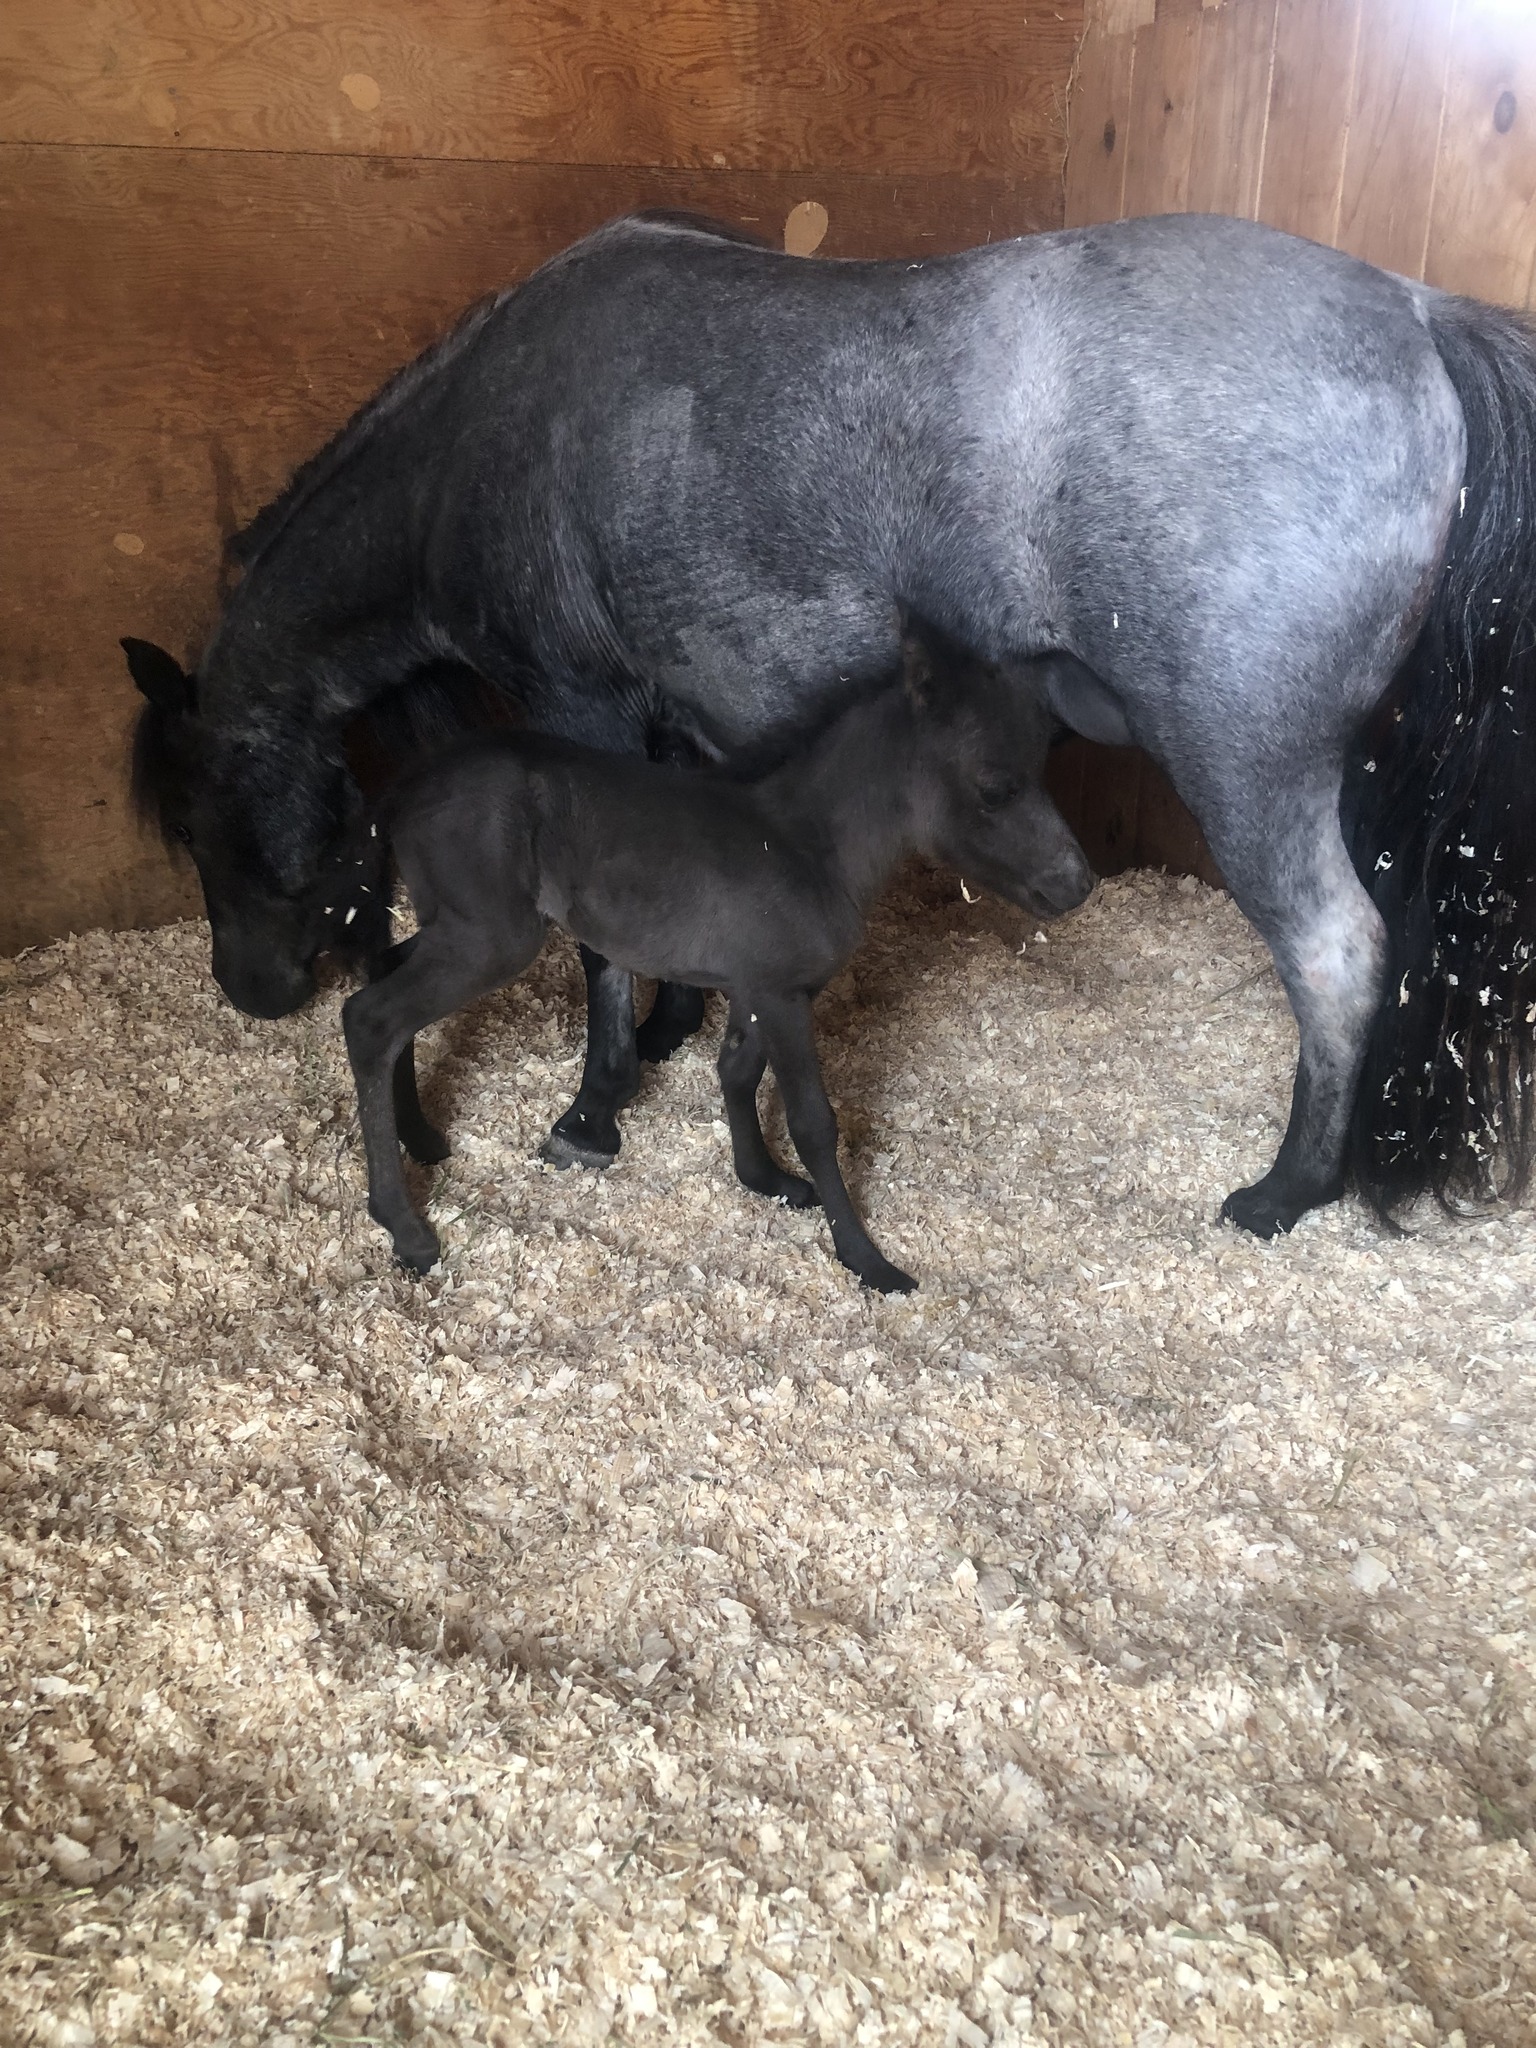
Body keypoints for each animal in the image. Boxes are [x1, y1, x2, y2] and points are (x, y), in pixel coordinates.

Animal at [337, 622, 1092, 1287]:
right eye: (995, 786)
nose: (1076, 882)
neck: (810, 845)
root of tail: (405, 786)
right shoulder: (780, 995)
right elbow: (813, 1121)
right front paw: (866, 1260)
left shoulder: (763, 986)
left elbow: (735, 1070)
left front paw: (765, 1180)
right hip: (489, 938)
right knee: (371, 1017)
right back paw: (404, 1227)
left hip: (453, 926)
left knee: (390, 981)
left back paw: (422, 1140)